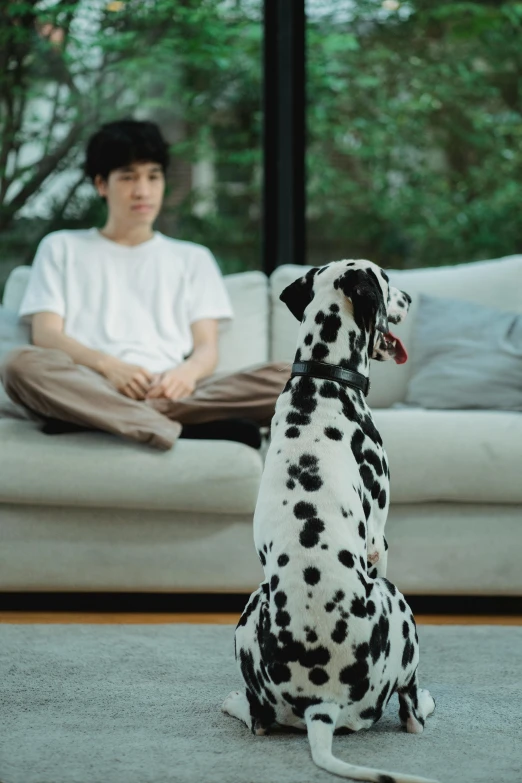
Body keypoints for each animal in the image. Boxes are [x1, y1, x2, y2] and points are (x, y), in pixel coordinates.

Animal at [221, 260, 436, 780]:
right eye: (386, 281)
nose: (410, 299)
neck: (321, 383)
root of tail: (323, 703)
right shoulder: (378, 542)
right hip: (397, 600)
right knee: (412, 712)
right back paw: (426, 703)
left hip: (247, 613)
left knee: (258, 719)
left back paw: (235, 702)